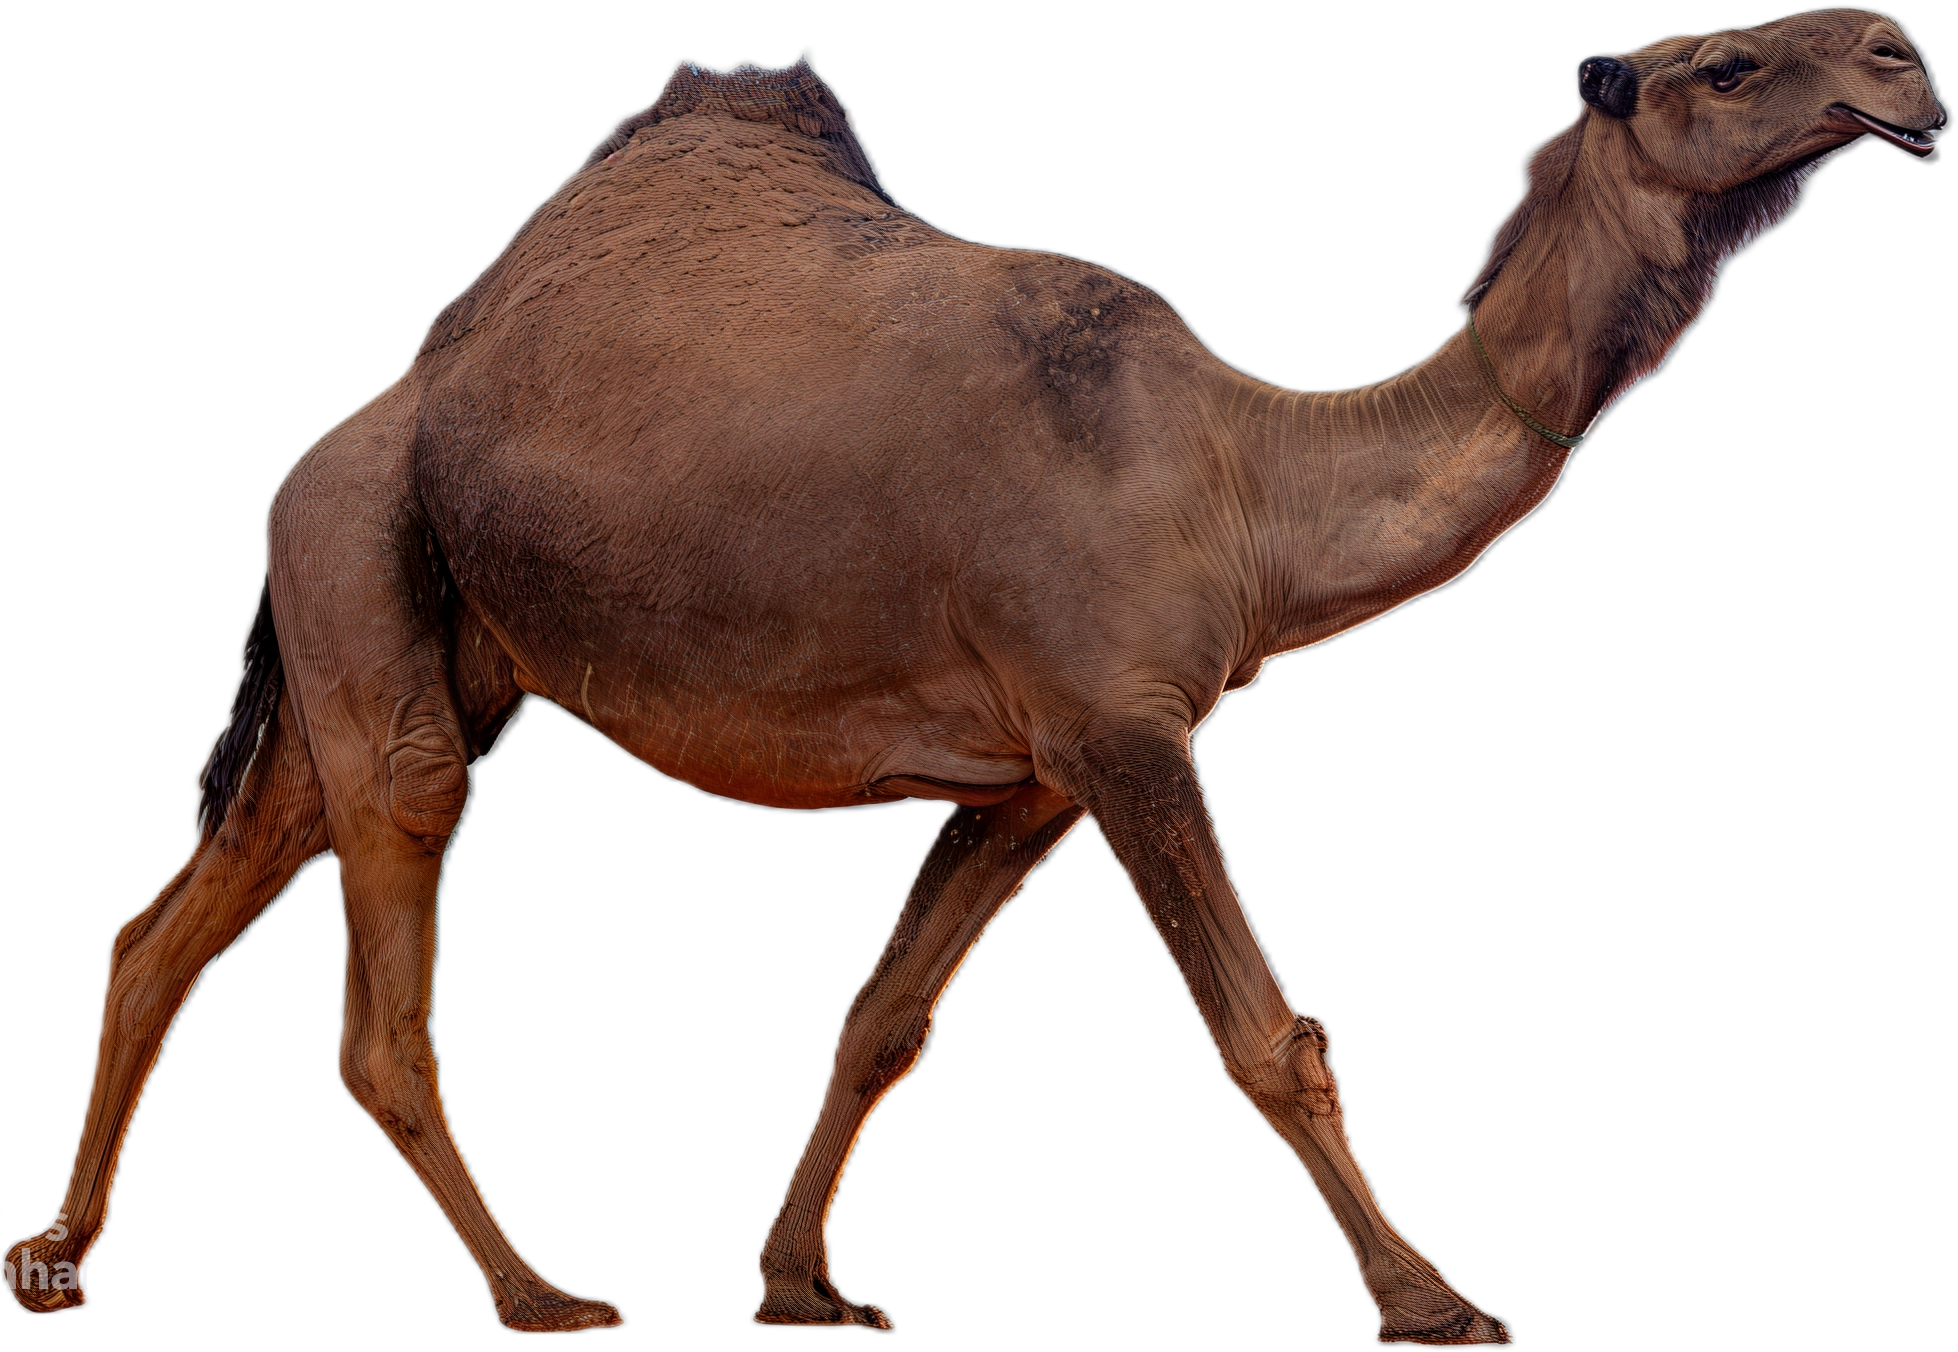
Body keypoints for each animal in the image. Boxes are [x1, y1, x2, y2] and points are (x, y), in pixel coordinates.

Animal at [5, 8, 1943, 1345]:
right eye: (1718, 61)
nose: (1902, 57)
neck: (1246, 476)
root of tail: (354, 423)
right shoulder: (1119, 725)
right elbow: (1268, 1037)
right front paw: (1434, 1300)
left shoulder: (1028, 776)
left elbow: (883, 1018)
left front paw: (801, 1286)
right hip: (361, 561)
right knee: (381, 959)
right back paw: (543, 1296)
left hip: (391, 619)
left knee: (176, 915)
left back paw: (58, 1263)